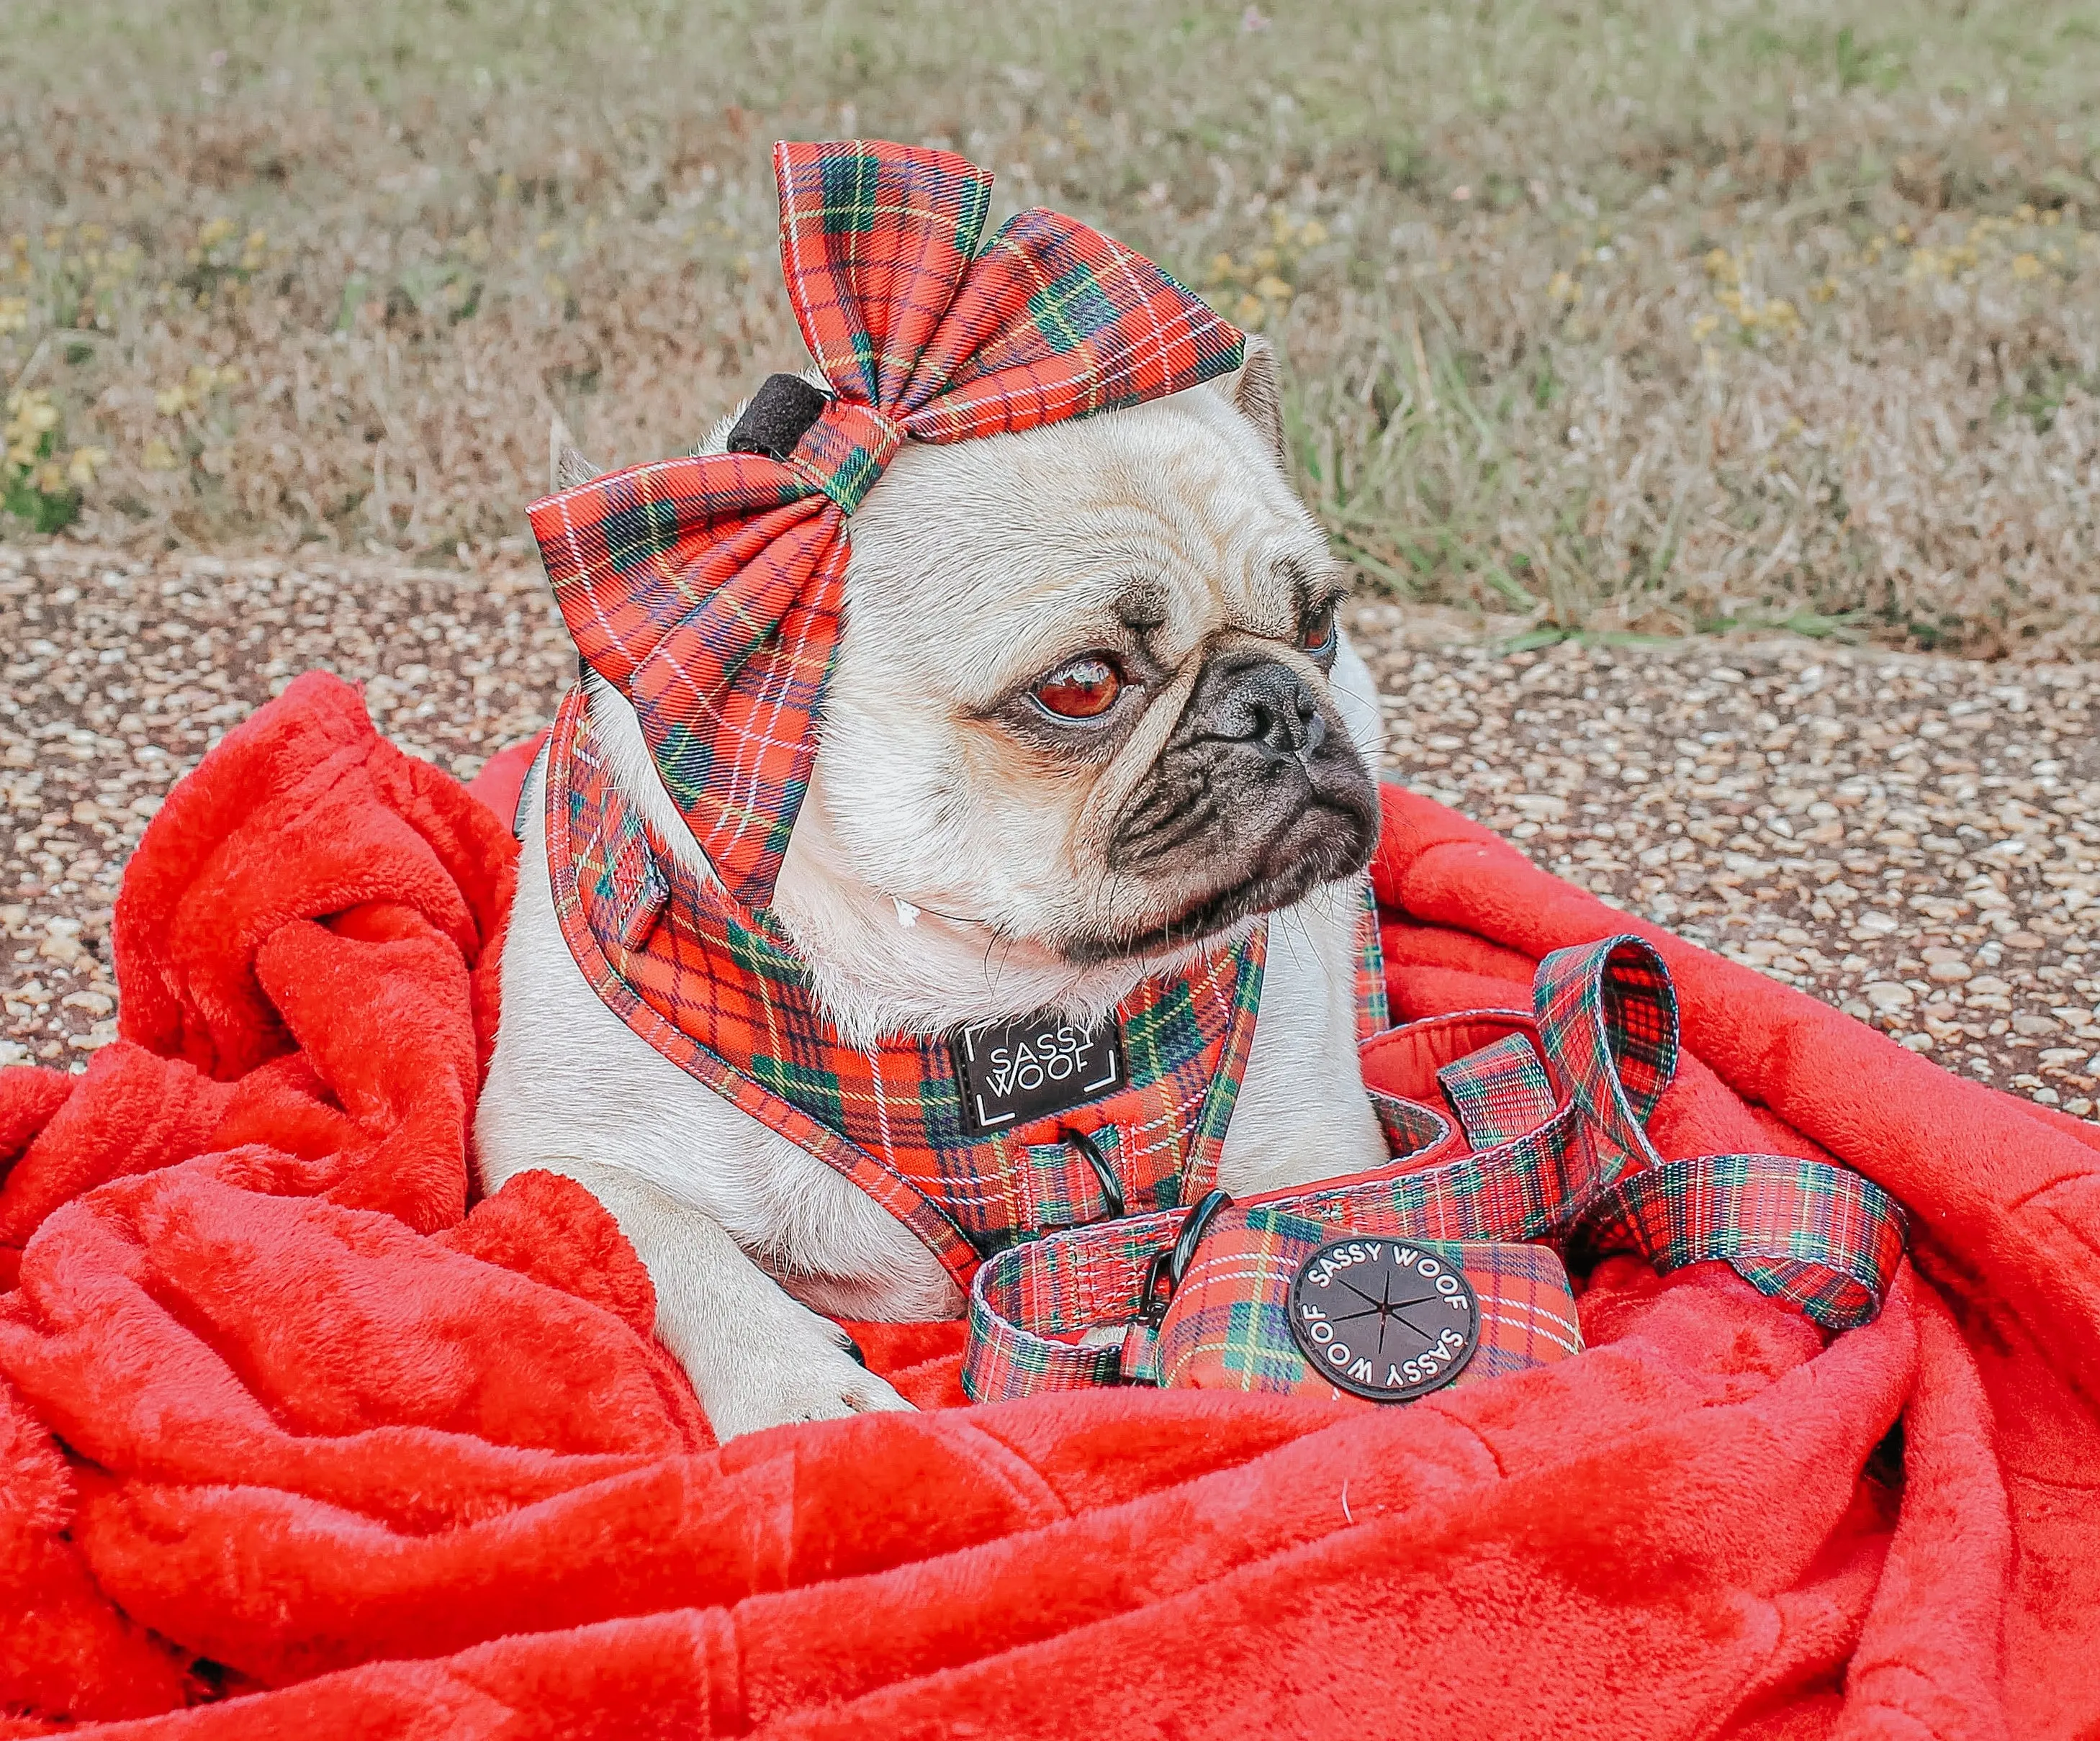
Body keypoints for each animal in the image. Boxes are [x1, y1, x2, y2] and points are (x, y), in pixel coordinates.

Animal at [477, 340, 1394, 1436]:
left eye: (1320, 621)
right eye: (1081, 684)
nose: (1282, 701)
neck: (984, 988)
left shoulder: (1324, 1151)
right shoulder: (556, 1149)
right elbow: (663, 1240)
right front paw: (798, 1390)